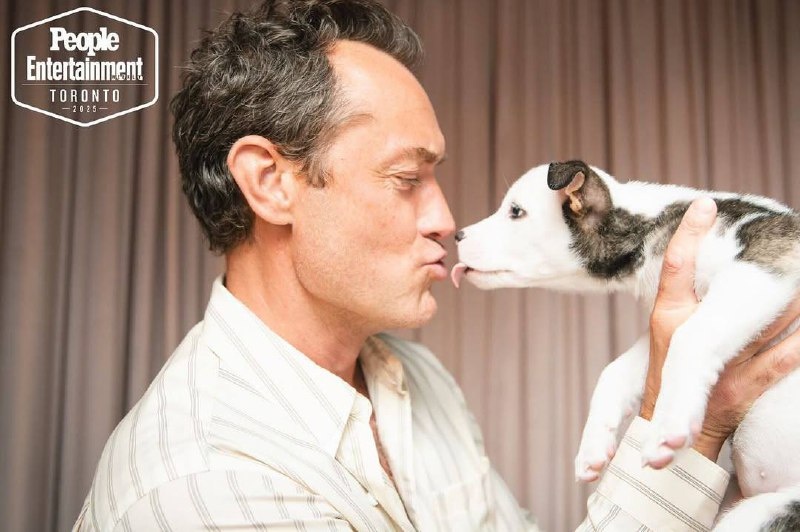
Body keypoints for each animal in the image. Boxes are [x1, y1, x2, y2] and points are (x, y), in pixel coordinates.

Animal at [451, 160, 800, 530]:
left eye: (516, 212)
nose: (457, 235)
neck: (652, 226)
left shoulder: (768, 262)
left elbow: (690, 337)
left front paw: (668, 426)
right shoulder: (663, 325)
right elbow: (615, 371)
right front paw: (592, 446)